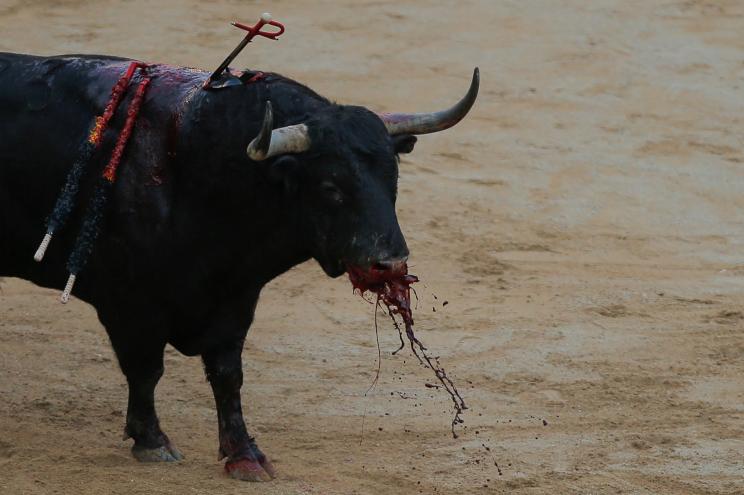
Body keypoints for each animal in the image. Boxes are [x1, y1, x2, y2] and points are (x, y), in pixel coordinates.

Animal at [0, 51, 476, 480]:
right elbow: (146, 370)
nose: (389, 263)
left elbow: (228, 375)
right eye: (330, 186)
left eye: (392, 179)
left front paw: (244, 453)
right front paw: (151, 440)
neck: (194, 167)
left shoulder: (236, 297)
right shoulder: (130, 305)